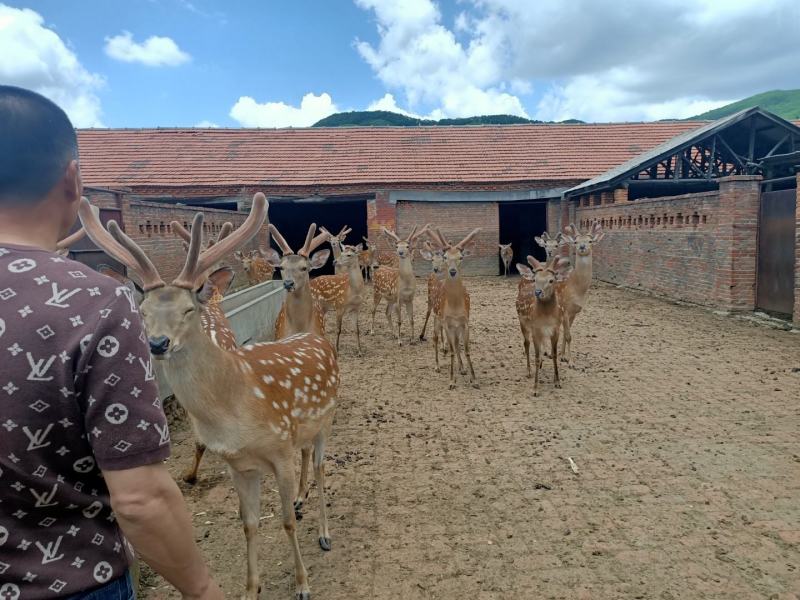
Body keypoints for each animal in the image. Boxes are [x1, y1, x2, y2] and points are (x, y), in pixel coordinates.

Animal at [78, 193, 338, 600]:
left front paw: (302, 584)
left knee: (322, 466)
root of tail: (315, 338)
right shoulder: (239, 464)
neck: (234, 410)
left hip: (325, 421)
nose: (158, 343)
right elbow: (249, 524)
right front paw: (250, 588)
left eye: (189, 308)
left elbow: (286, 523)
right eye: (143, 311)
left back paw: (325, 534)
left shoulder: (280, 451)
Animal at [429, 228, 481, 389]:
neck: (456, 307)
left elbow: (466, 349)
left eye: (461, 257)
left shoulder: (465, 322)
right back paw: (437, 366)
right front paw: (452, 381)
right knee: (435, 338)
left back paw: (462, 368)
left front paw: (474, 379)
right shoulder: (447, 323)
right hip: (436, 318)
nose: (452, 271)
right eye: (445, 257)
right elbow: (451, 350)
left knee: (457, 344)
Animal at [516, 255, 573, 396]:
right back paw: (529, 371)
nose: (537, 292)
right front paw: (535, 388)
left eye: (551, 280)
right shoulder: (535, 329)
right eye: (535, 280)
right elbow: (536, 357)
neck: (546, 318)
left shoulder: (555, 329)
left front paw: (557, 382)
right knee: (526, 343)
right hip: (522, 323)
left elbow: (554, 354)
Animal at [558, 222, 604, 367]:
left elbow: (566, 333)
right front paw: (571, 362)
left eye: (590, 241)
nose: (582, 247)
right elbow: (568, 336)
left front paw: (563, 357)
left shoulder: (574, 312)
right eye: (576, 241)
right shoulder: (565, 309)